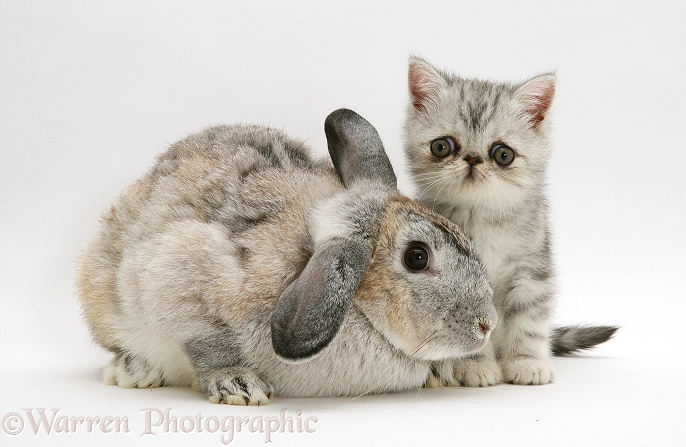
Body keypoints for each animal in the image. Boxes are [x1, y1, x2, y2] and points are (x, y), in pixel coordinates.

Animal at [79, 109, 500, 406]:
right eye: (416, 257)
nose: (487, 325)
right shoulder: (182, 277)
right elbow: (205, 341)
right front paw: (239, 383)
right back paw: (134, 371)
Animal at [404, 57, 620, 386]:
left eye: (503, 154)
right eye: (442, 147)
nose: (472, 158)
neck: (480, 217)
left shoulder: (533, 270)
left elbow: (529, 320)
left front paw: (527, 361)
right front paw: (476, 366)